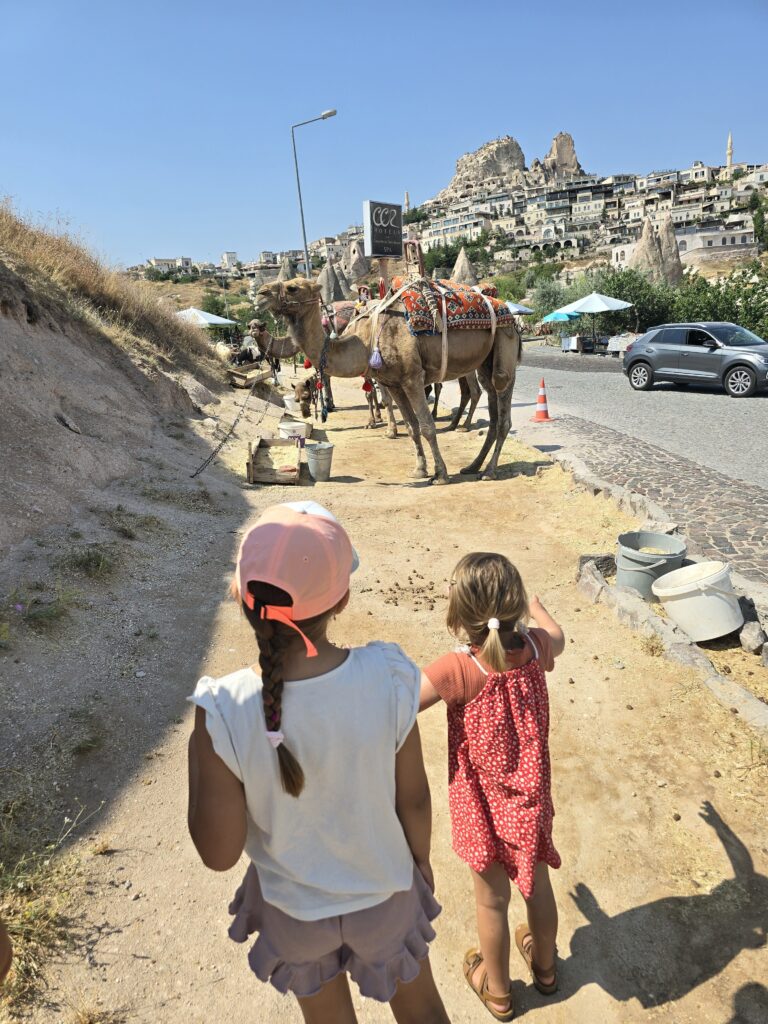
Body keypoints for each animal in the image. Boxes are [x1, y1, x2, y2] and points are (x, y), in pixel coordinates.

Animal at [252, 278, 524, 481]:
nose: (260, 296)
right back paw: (473, 466)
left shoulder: (413, 378)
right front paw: (419, 470)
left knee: (502, 405)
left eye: (293, 287)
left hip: (504, 343)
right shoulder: (394, 382)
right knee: (491, 406)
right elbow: (412, 427)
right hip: (484, 361)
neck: (365, 340)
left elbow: (427, 426)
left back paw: (488, 470)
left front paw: (440, 474)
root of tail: (510, 313)